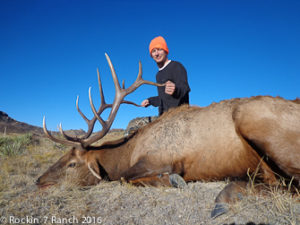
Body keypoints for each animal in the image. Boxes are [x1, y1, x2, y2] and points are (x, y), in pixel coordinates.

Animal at [37, 53, 300, 218]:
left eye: (72, 164)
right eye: (61, 158)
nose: (39, 181)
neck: (129, 151)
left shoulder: (161, 159)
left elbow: (125, 177)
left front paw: (173, 181)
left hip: (256, 124)